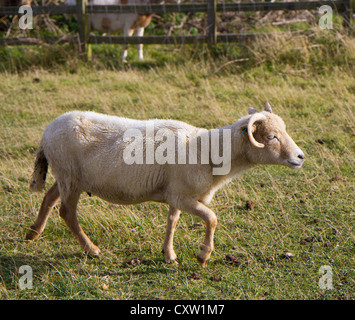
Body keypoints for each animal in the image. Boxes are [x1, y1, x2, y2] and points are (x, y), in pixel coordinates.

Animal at [27, 104, 306, 266]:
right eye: (271, 136)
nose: (301, 157)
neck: (205, 150)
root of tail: (47, 130)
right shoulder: (183, 196)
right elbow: (212, 218)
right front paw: (203, 255)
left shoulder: (176, 193)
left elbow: (172, 221)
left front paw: (168, 254)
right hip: (69, 176)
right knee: (67, 212)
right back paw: (91, 249)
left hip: (67, 176)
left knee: (50, 198)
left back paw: (33, 233)